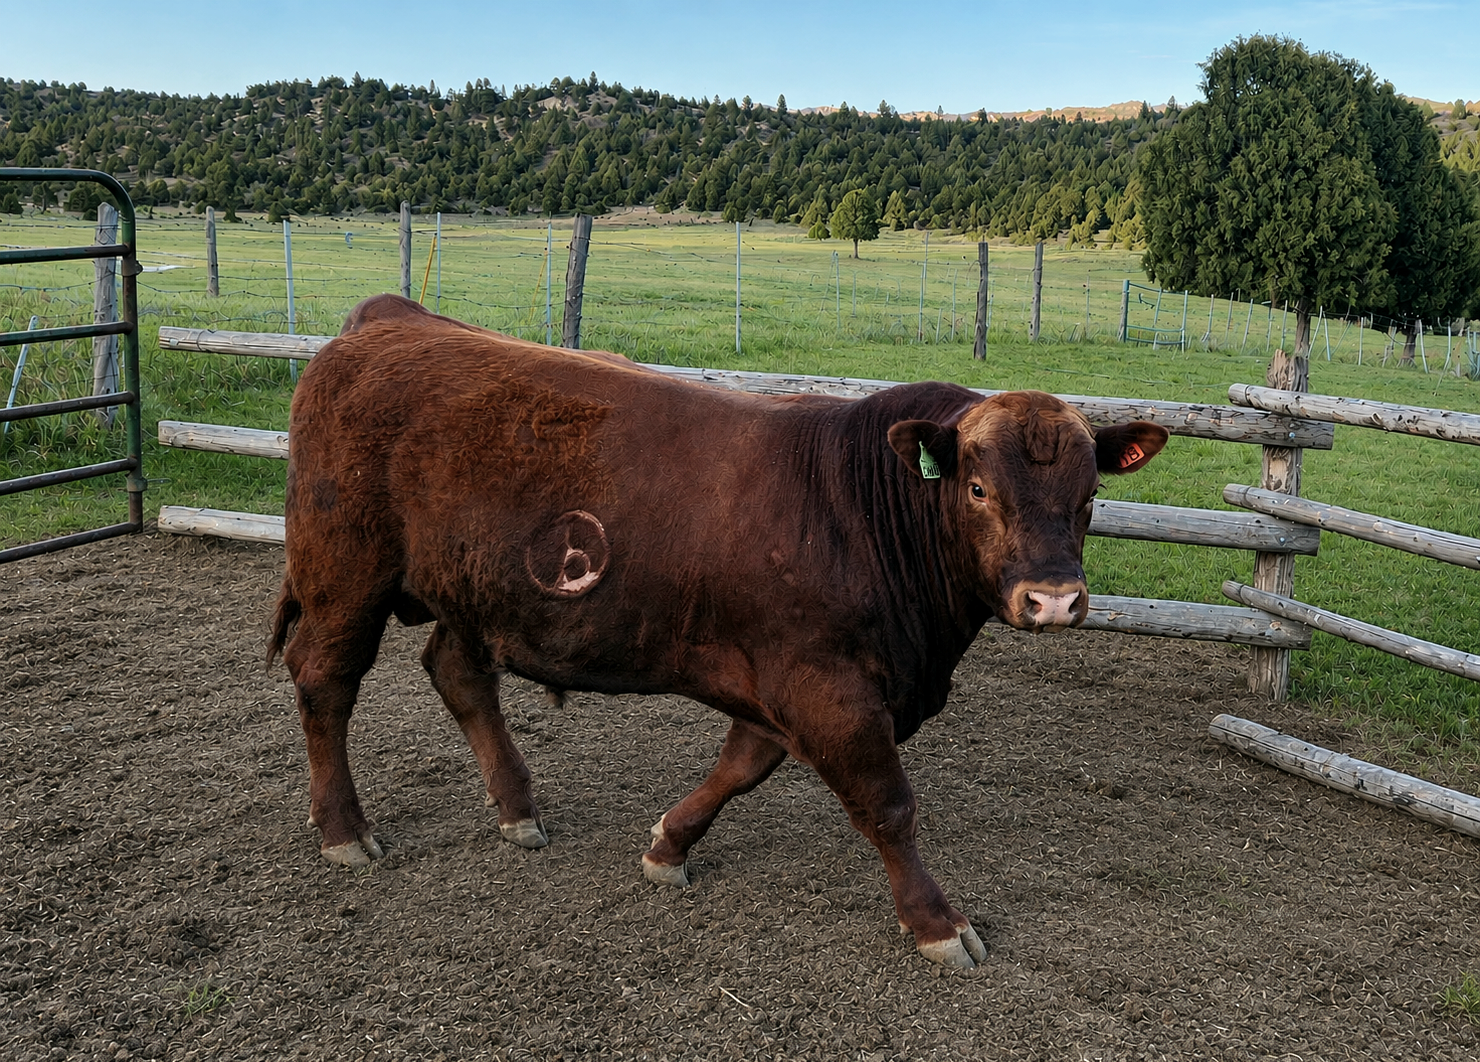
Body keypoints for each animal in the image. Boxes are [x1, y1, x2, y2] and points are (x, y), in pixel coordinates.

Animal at [268, 294, 1167, 967]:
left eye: (1090, 495)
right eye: (979, 489)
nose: (1053, 600)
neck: (861, 508)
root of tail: (389, 322)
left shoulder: (780, 679)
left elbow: (740, 766)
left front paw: (669, 845)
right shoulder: (830, 689)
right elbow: (889, 806)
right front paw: (939, 924)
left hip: (474, 589)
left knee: (458, 674)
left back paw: (517, 809)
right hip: (346, 572)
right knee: (325, 681)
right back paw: (345, 830)